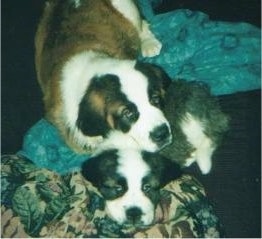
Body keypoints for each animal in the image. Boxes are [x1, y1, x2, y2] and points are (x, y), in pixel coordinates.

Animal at [35, 0, 173, 153]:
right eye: (127, 113)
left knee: (141, 24)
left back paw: (149, 43)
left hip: (127, 7)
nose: (162, 133)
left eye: (155, 99)